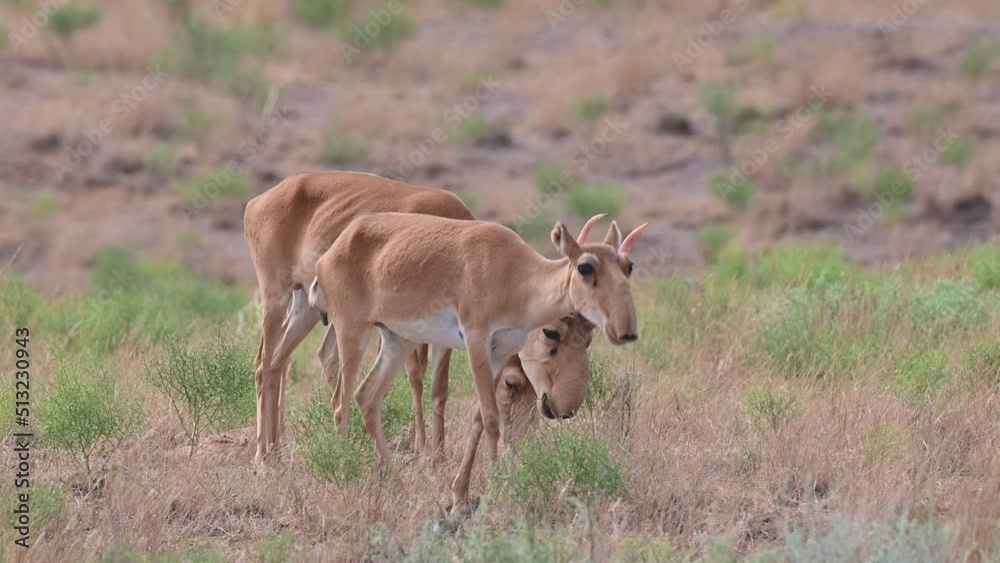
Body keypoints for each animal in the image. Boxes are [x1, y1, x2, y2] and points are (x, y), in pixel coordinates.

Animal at [243, 171, 594, 464]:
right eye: (511, 383)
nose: (558, 408)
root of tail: (258, 202)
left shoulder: (444, 335)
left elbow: (439, 388)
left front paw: (438, 453)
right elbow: (415, 376)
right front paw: (422, 447)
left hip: (305, 308)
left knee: (281, 362)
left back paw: (276, 447)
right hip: (277, 299)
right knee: (264, 362)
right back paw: (262, 454)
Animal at [308, 211, 646, 509]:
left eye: (627, 265)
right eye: (585, 267)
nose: (626, 330)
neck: (514, 272)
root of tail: (335, 249)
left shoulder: (498, 353)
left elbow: (478, 419)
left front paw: (459, 498)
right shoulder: (475, 344)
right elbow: (492, 418)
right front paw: (500, 496)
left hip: (397, 341)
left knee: (366, 397)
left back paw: (400, 488)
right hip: (352, 333)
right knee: (340, 402)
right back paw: (345, 475)